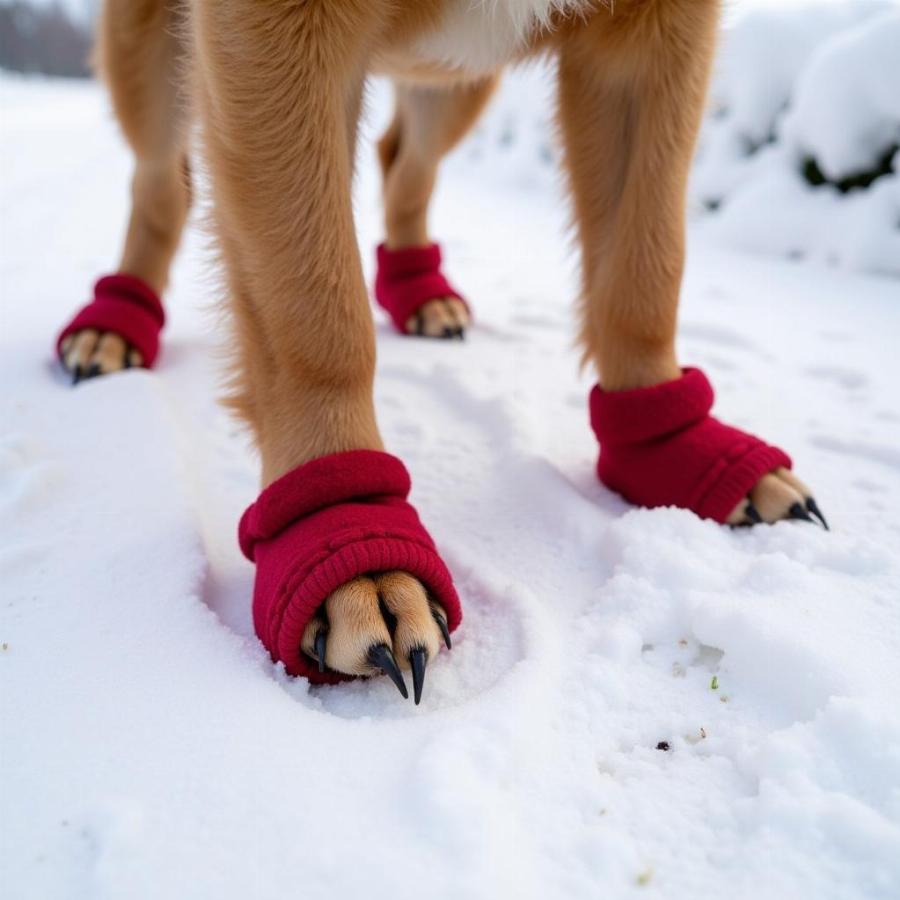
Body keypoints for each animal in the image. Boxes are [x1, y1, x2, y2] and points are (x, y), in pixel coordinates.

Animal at [56, 0, 828, 704]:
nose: (677, 440)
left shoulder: (656, 39)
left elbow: (646, 265)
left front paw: (670, 442)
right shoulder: (271, 31)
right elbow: (314, 310)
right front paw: (344, 532)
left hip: (458, 77)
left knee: (404, 159)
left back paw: (420, 292)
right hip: (148, 41)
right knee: (163, 181)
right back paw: (115, 324)